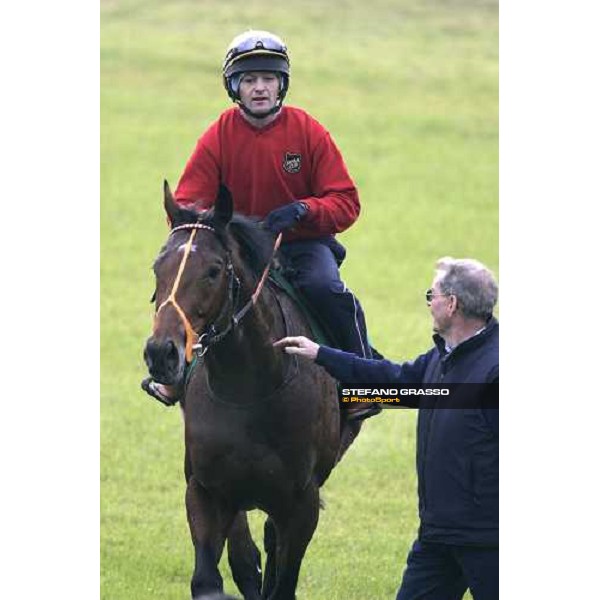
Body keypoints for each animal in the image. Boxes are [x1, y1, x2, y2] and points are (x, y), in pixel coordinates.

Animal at [144, 183, 364, 600]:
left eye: (213, 271)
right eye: (157, 267)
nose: (161, 353)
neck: (249, 388)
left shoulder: (302, 503)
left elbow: (282, 580)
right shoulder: (206, 490)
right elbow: (210, 581)